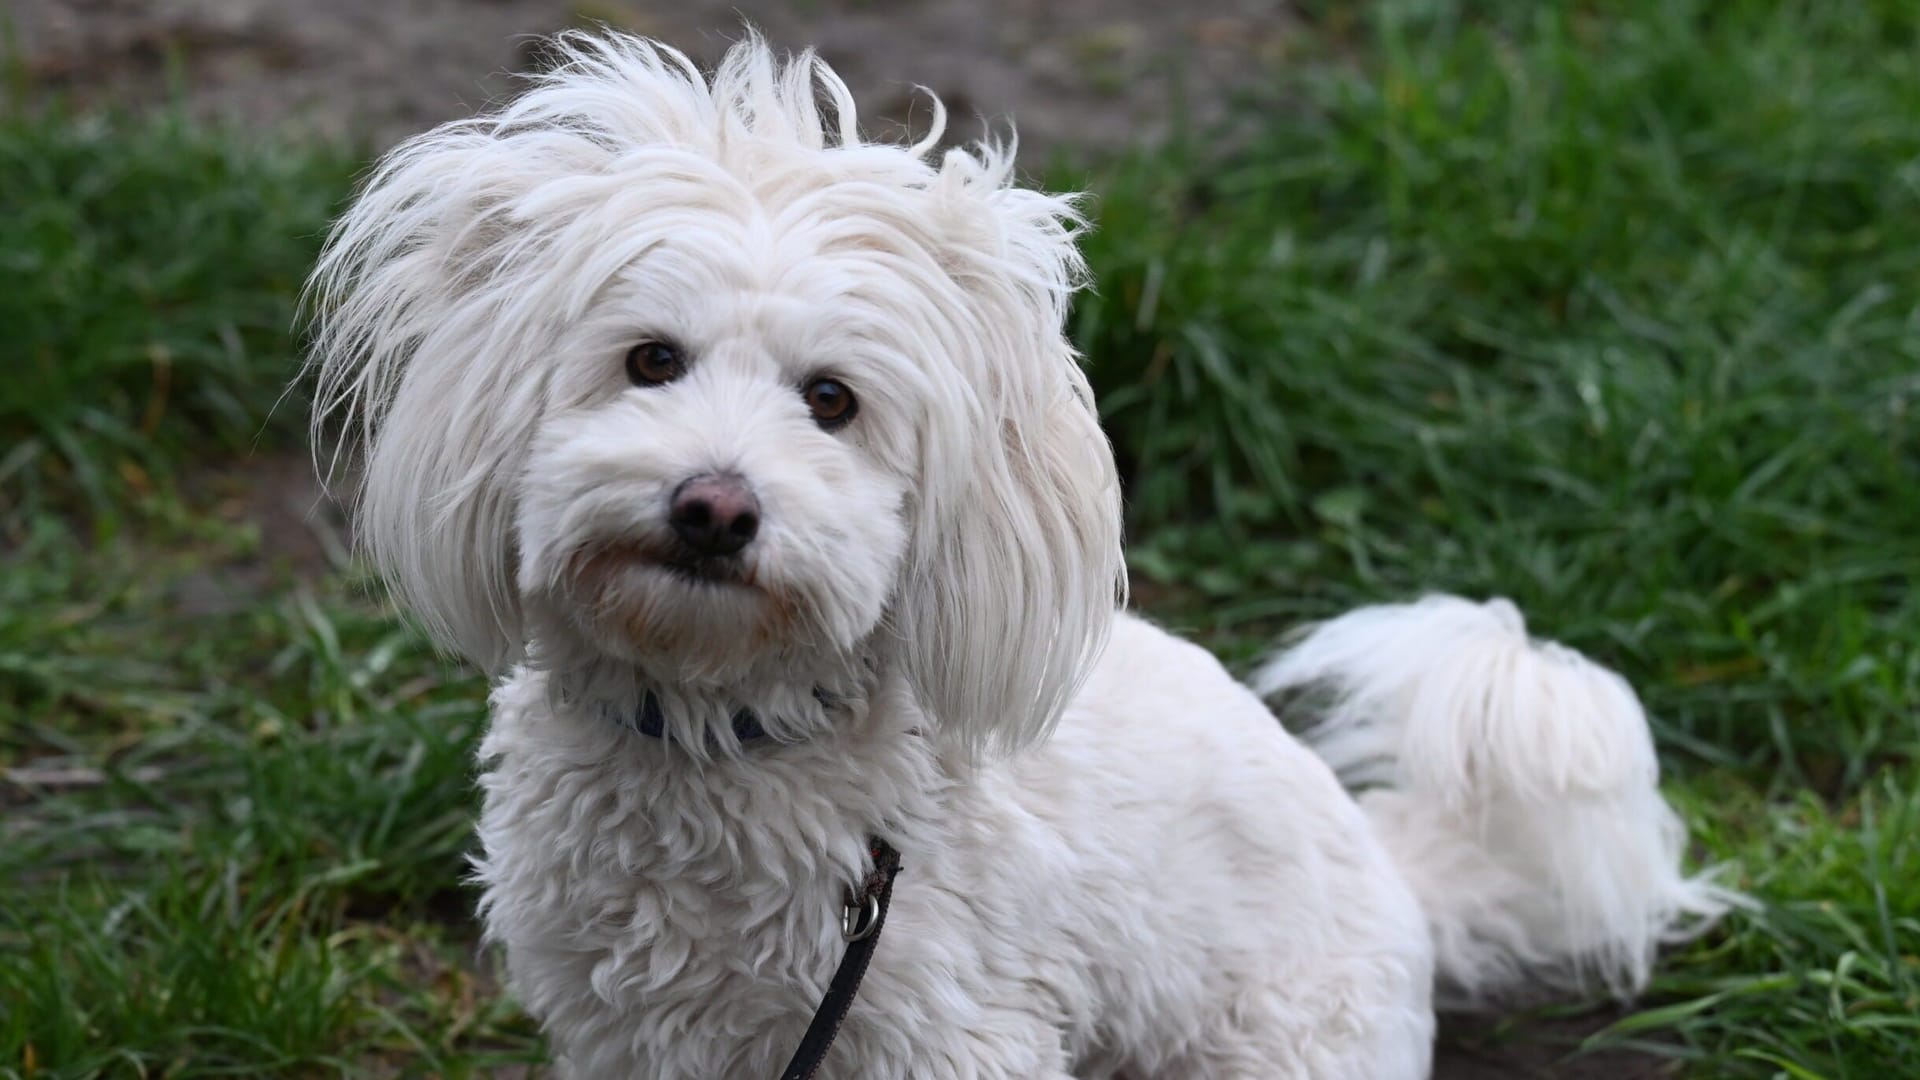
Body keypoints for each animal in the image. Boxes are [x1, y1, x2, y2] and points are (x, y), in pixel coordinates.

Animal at [307, 33, 1735, 1076]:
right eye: (650, 360)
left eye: (832, 401)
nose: (714, 507)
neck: (725, 734)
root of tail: (1400, 879)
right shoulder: (631, 1037)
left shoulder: (937, 1029)